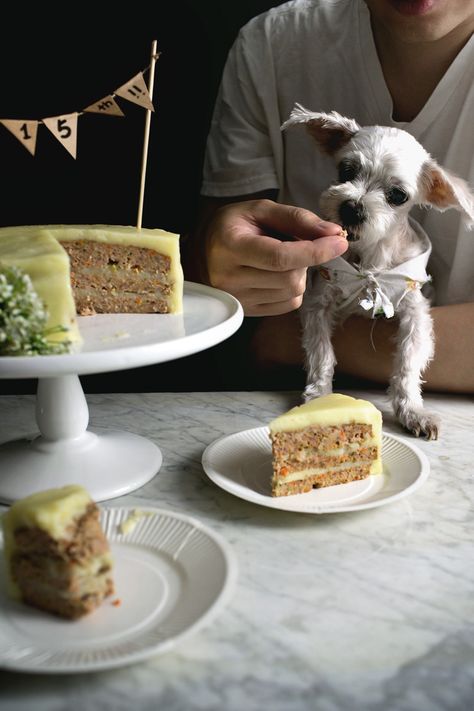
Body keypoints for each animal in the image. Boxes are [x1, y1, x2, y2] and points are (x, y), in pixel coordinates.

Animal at [282, 105, 474, 440]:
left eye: (397, 195)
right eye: (346, 170)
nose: (352, 207)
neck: (371, 257)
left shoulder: (415, 311)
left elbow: (408, 363)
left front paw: (413, 411)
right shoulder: (318, 303)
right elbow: (322, 354)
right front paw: (319, 397)